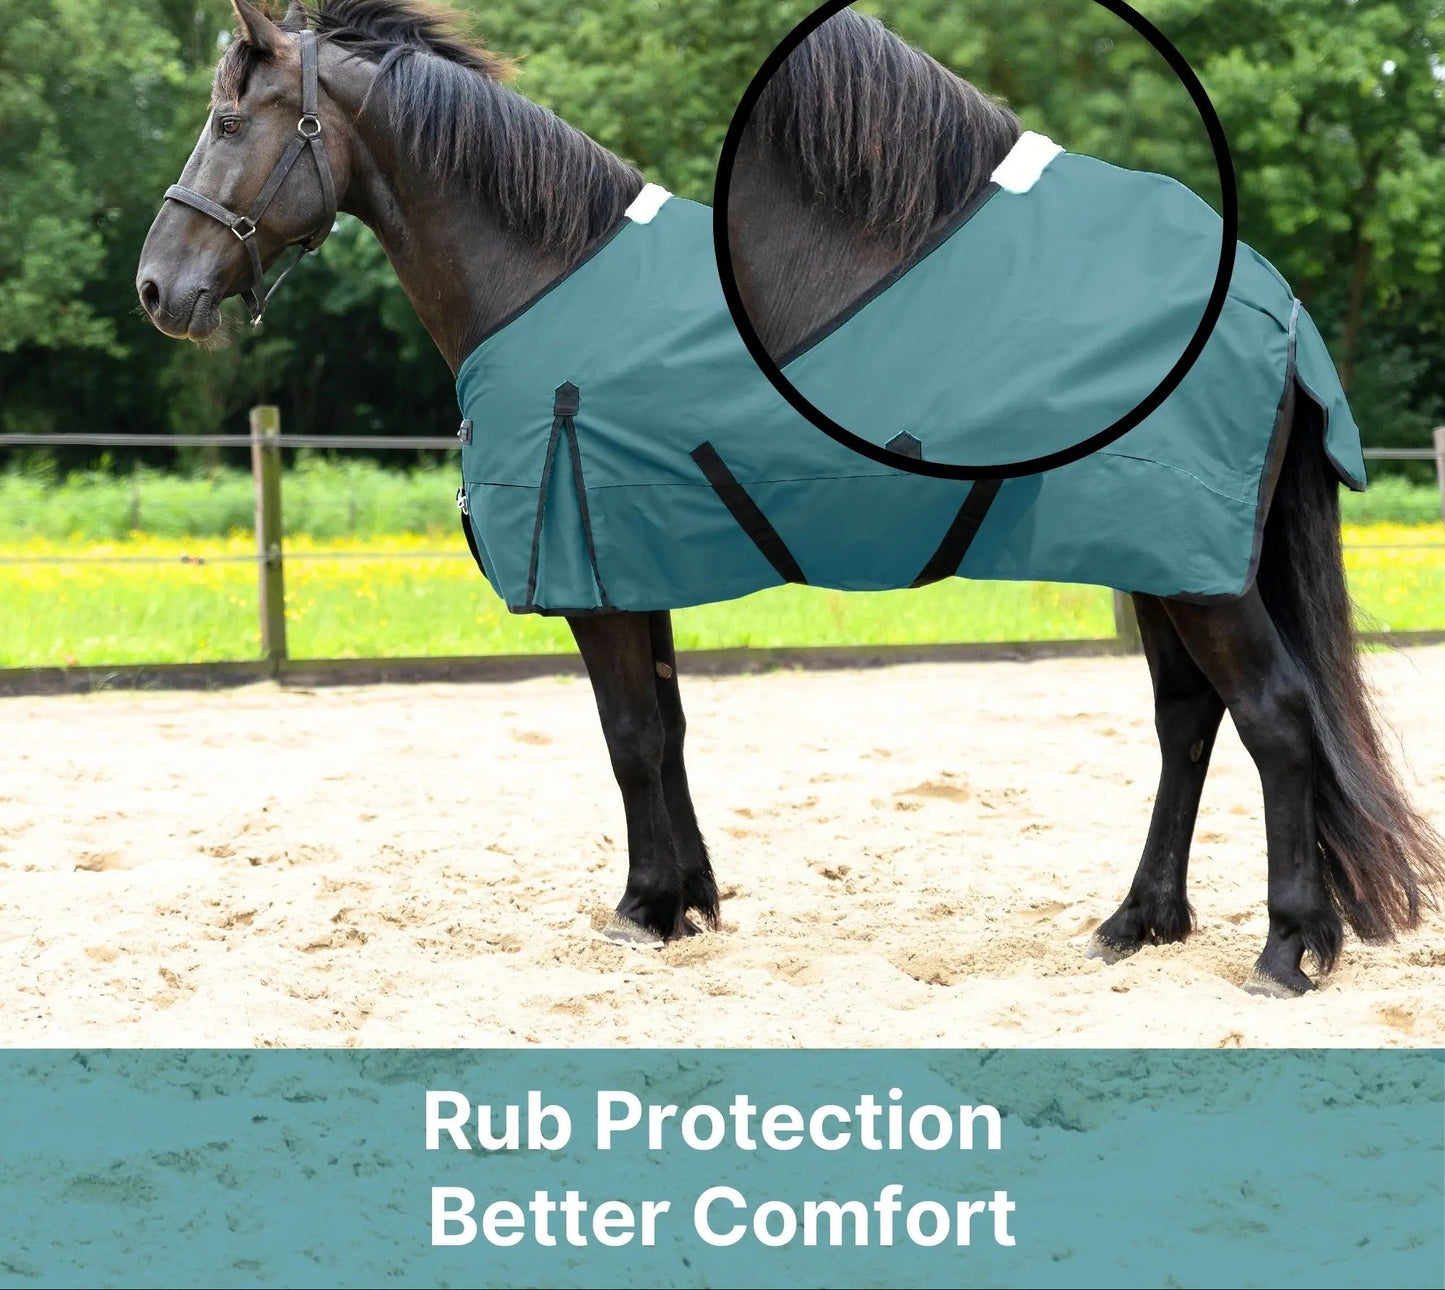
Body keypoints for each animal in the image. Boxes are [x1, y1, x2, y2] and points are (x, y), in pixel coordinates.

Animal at [135, 1, 1443, 997]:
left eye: (227, 120)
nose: (157, 288)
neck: (544, 279)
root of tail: (1267, 299)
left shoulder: (596, 576)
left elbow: (626, 736)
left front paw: (641, 909)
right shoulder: (635, 562)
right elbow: (662, 731)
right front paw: (689, 903)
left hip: (1193, 570)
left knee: (1273, 717)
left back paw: (1287, 950)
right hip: (1161, 563)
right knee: (1188, 723)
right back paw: (1135, 925)